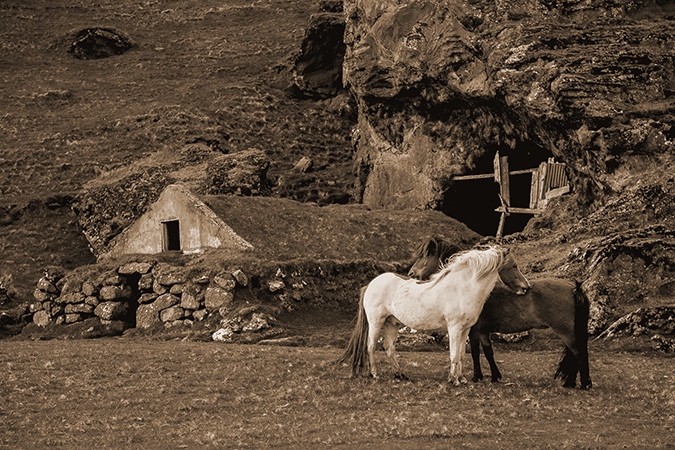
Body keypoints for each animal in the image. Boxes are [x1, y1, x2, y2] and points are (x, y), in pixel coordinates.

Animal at [340, 244, 532, 384]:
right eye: (514, 266)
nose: (526, 287)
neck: (462, 288)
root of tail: (370, 284)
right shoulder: (454, 328)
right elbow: (454, 354)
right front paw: (454, 381)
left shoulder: (465, 330)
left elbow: (461, 354)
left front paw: (461, 378)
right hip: (376, 322)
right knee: (371, 346)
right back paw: (374, 374)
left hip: (392, 323)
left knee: (389, 348)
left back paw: (400, 375)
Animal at [406, 237, 592, 388]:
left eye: (425, 256)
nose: (411, 273)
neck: (469, 286)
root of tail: (575, 288)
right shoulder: (483, 331)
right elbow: (488, 352)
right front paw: (495, 376)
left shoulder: (474, 330)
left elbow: (475, 352)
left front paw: (477, 376)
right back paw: (571, 383)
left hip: (566, 332)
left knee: (578, 353)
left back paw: (582, 384)